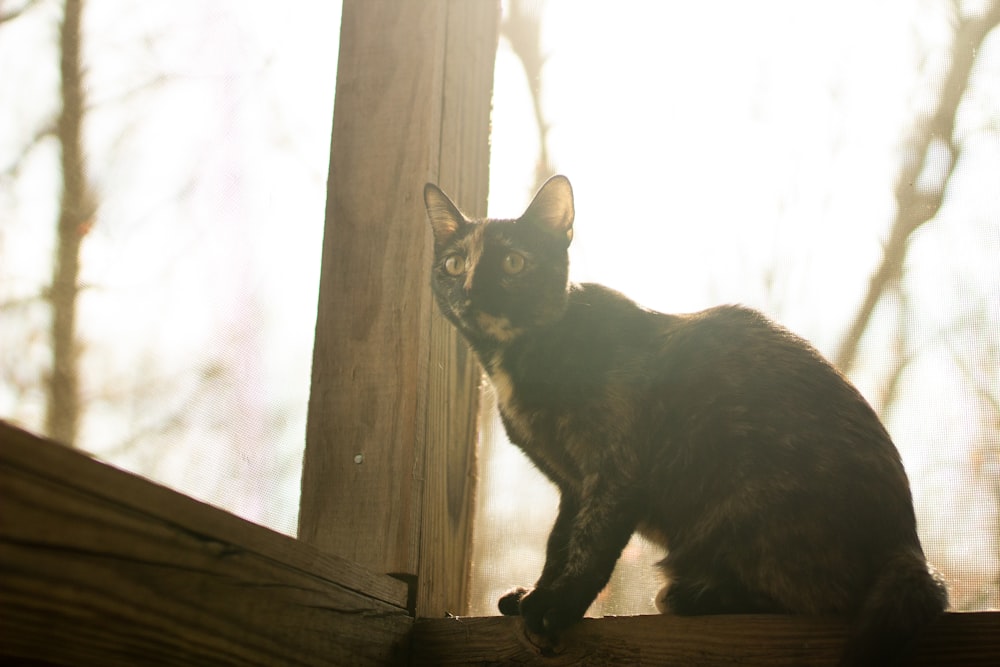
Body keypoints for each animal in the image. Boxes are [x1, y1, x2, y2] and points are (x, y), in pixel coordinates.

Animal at [422, 175, 944, 664]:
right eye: (453, 264)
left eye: (514, 263)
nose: (470, 290)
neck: (517, 361)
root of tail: (909, 546)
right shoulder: (573, 484)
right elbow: (560, 541)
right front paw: (537, 591)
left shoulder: (616, 467)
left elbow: (591, 543)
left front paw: (558, 606)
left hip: (747, 500)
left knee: (817, 599)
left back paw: (693, 595)